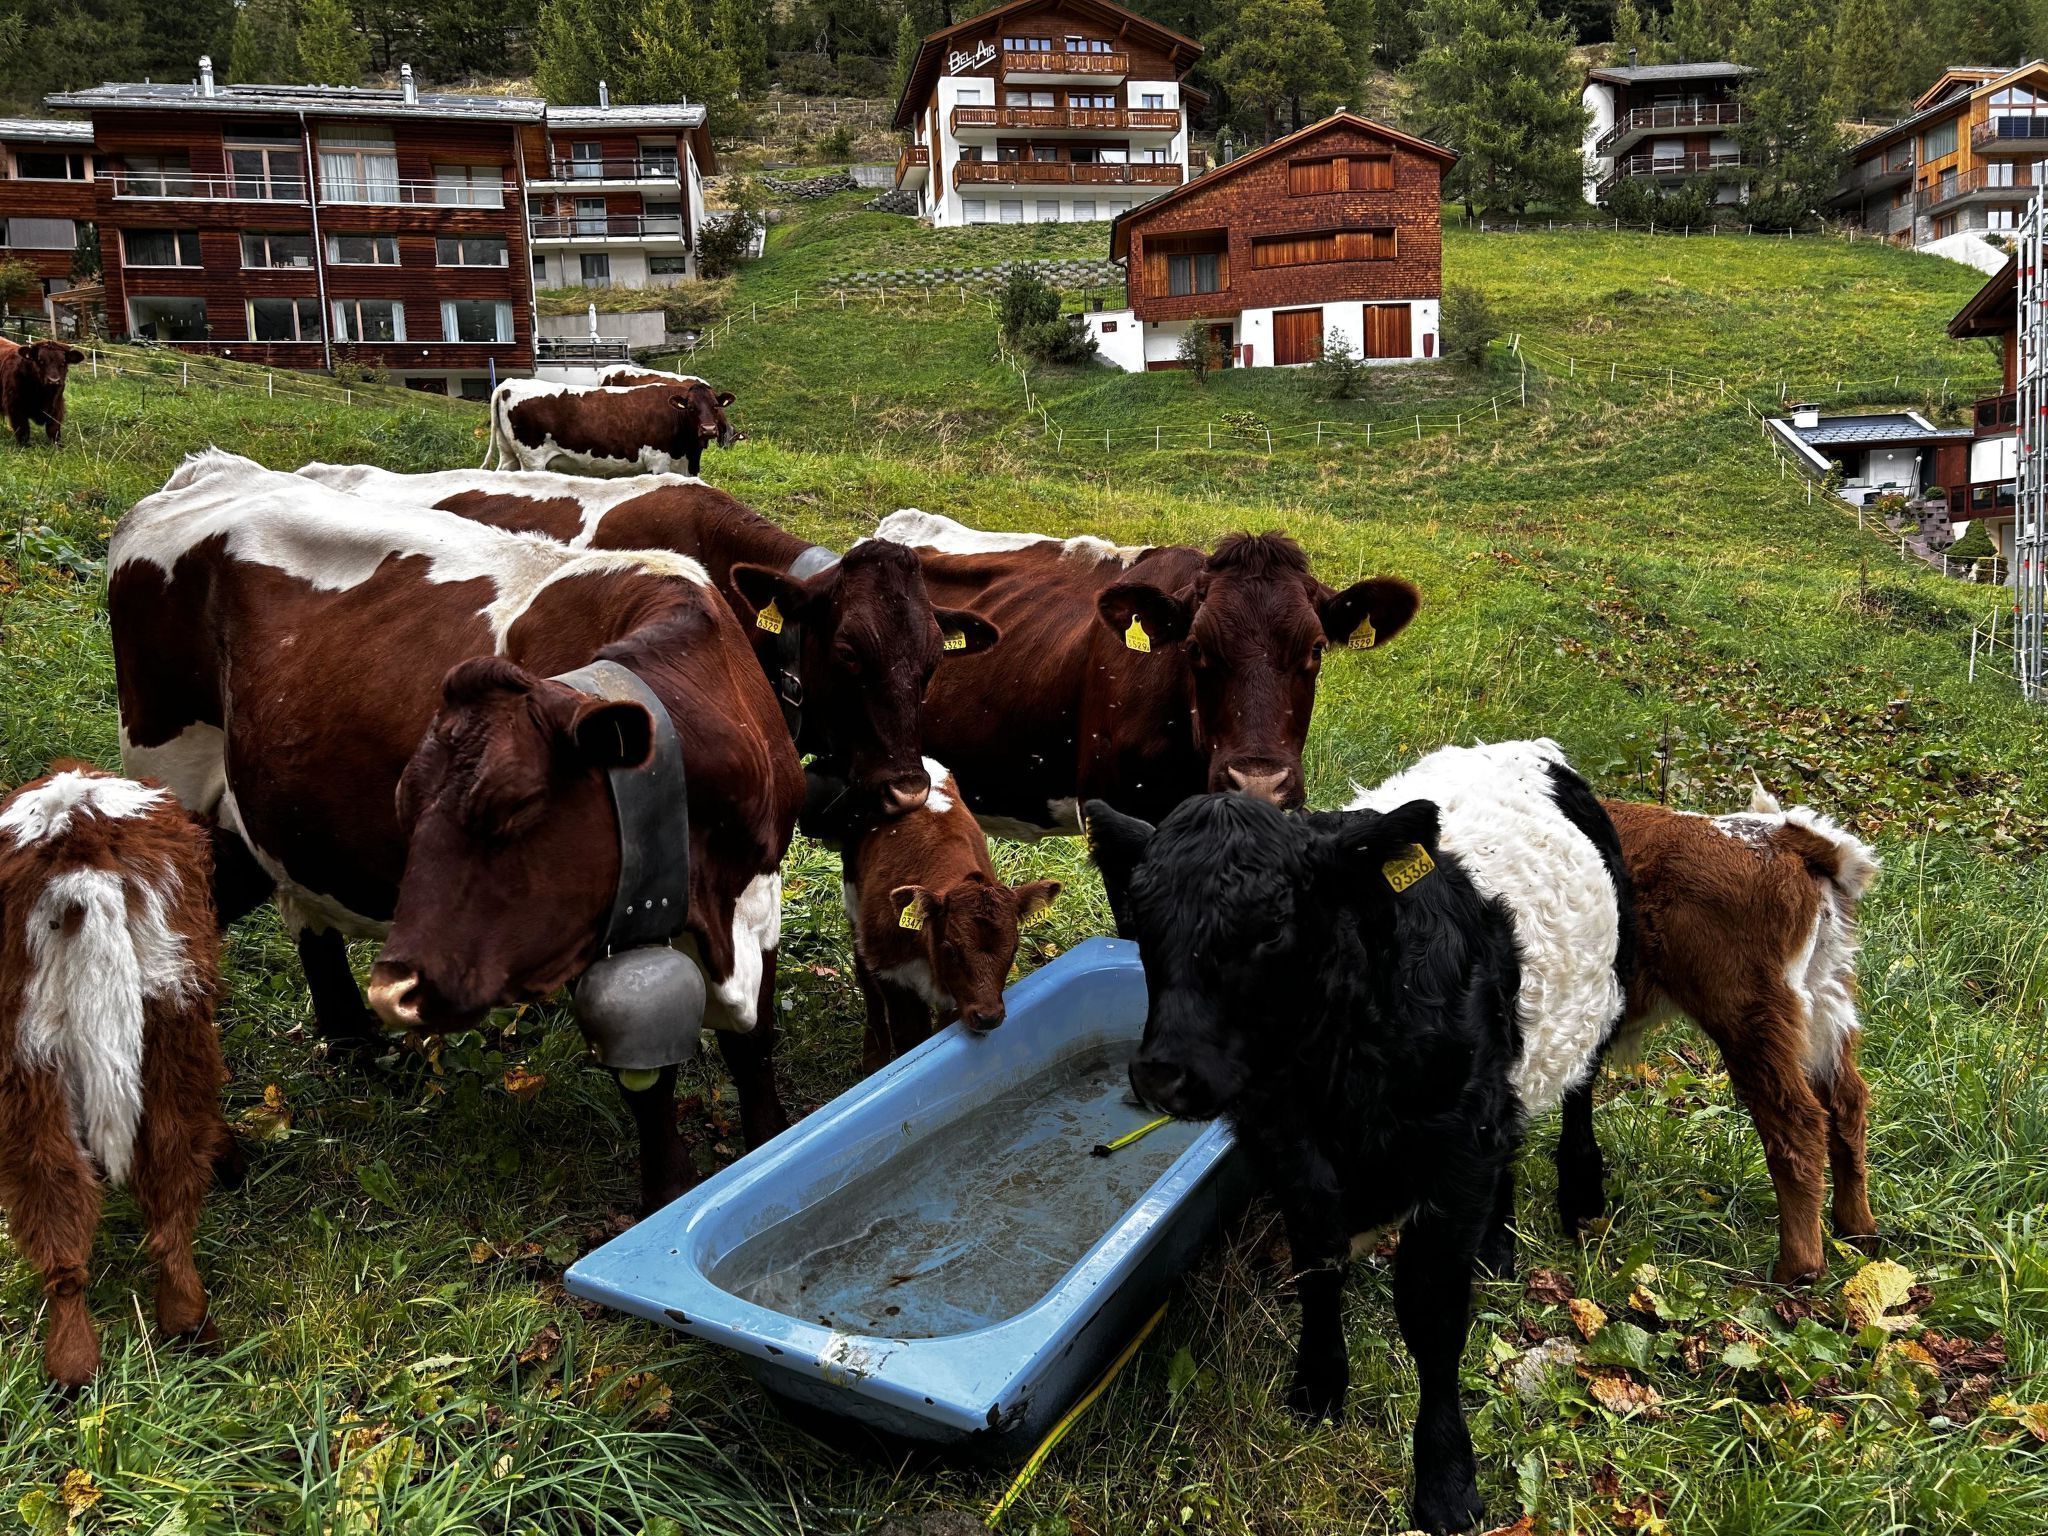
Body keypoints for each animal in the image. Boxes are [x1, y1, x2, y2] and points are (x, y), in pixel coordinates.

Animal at [109, 451, 804, 1208]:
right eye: (405, 804)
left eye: (516, 802)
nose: (396, 989)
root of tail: (209, 468)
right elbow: (649, 1085)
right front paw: (669, 1196)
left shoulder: (759, 901)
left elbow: (754, 1046)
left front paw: (767, 1149)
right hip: (168, 778)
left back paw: (355, 1042)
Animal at [485, 375, 739, 476]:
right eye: (691, 408)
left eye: (716, 406)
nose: (709, 430)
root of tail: (509, 383)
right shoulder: (659, 463)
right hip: (532, 460)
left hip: (509, 455)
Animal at [841, 756, 1060, 1071]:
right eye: (950, 949)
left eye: (1014, 949)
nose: (988, 1017)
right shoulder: (889, 969)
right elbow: (910, 1035)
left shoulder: (959, 998)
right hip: (854, 906)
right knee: (867, 983)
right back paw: (874, 1058)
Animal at [1087, 739, 1630, 1535]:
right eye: (1141, 922)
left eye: (1271, 927)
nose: (1164, 1074)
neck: (1330, 1073)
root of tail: (1525, 747)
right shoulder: (1293, 1155)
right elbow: (1318, 1269)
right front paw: (1316, 1388)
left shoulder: (1451, 1158)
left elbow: (1431, 1314)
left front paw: (1445, 1481)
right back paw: (1497, 1245)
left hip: (1605, 992)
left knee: (1579, 1092)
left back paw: (1581, 1196)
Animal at [1574, 787, 1881, 1284]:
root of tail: (1784, 836)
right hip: (1824, 996)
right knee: (1847, 1101)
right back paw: (1857, 1231)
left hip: (1747, 1011)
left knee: (1796, 1122)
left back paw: (1798, 1268)